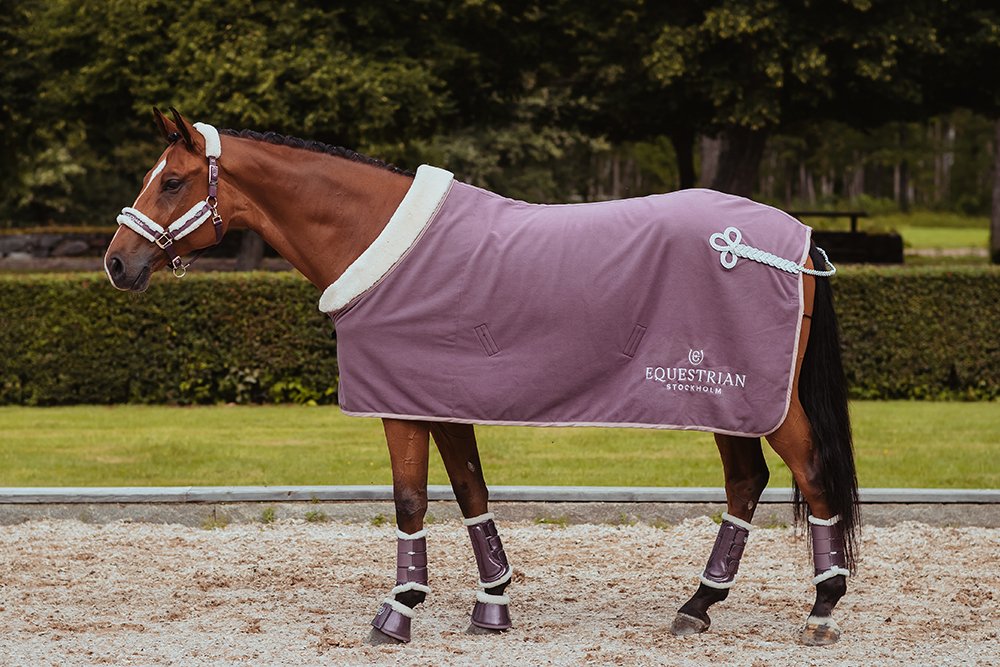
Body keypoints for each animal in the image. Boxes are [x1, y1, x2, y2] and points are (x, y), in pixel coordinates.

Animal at [105, 109, 859, 647]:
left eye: (172, 181)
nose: (117, 263)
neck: (379, 238)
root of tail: (796, 242)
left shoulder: (402, 404)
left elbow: (411, 500)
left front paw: (398, 612)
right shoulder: (440, 398)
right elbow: (470, 490)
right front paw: (492, 603)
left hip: (756, 398)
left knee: (813, 472)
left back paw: (822, 609)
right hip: (725, 400)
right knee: (747, 481)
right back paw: (698, 604)